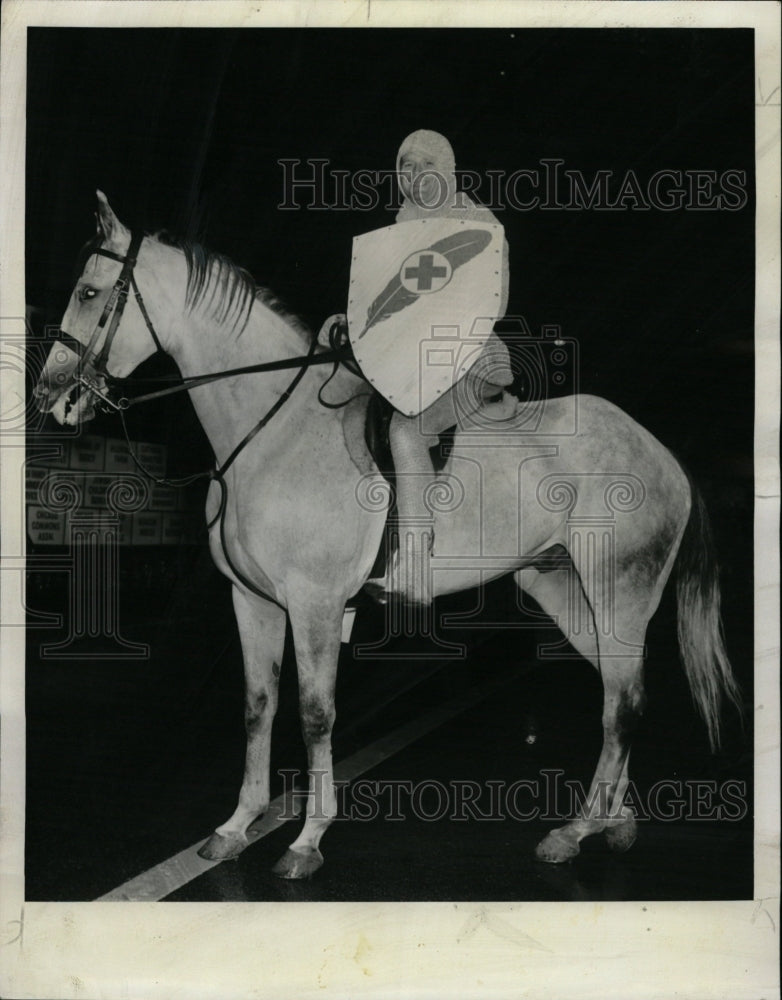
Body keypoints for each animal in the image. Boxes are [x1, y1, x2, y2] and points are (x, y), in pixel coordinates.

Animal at [33, 191, 744, 880]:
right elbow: (258, 705)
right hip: (562, 588)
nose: (51, 395)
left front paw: (307, 840)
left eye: (90, 293)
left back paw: (575, 831)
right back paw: (612, 823)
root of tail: (664, 455)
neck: (273, 430)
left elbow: (315, 713)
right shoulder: (253, 601)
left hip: (619, 591)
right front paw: (236, 827)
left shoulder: (315, 605)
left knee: (623, 703)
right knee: (616, 689)